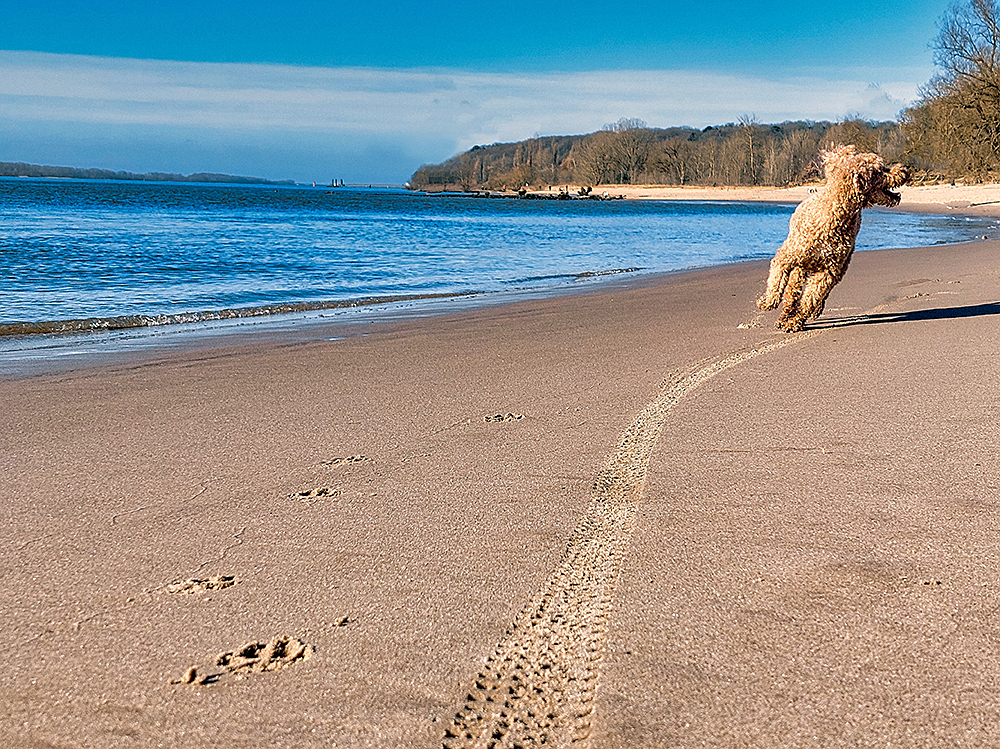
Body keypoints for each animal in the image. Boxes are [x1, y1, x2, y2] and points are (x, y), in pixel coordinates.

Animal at [756, 145, 908, 330]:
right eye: (880, 170)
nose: (905, 171)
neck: (836, 212)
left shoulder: (829, 270)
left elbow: (811, 298)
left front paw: (796, 320)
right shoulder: (786, 257)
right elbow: (776, 283)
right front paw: (767, 303)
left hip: (840, 267)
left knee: (815, 293)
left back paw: (808, 311)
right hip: (800, 264)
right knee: (792, 290)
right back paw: (785, 314)